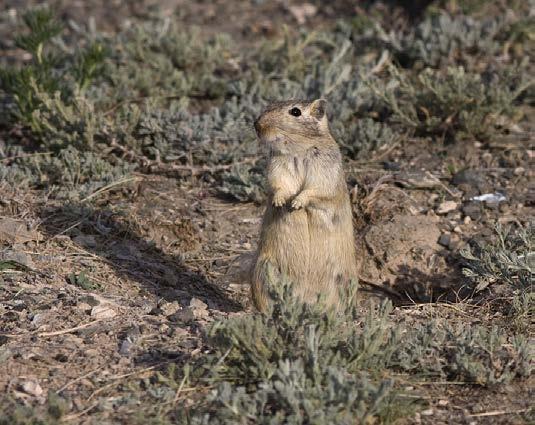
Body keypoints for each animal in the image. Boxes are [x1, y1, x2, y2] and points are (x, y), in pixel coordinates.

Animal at [252, 99, 360, 312]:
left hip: (345, 279)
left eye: (295, 112)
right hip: (263, 270)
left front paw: (296, 203)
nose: (257, 125)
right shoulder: (278, 167)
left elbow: (312, 191)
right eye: (271, 104)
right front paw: (280, 202)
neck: (299, 149)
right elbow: (279, 185)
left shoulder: (324, 174)